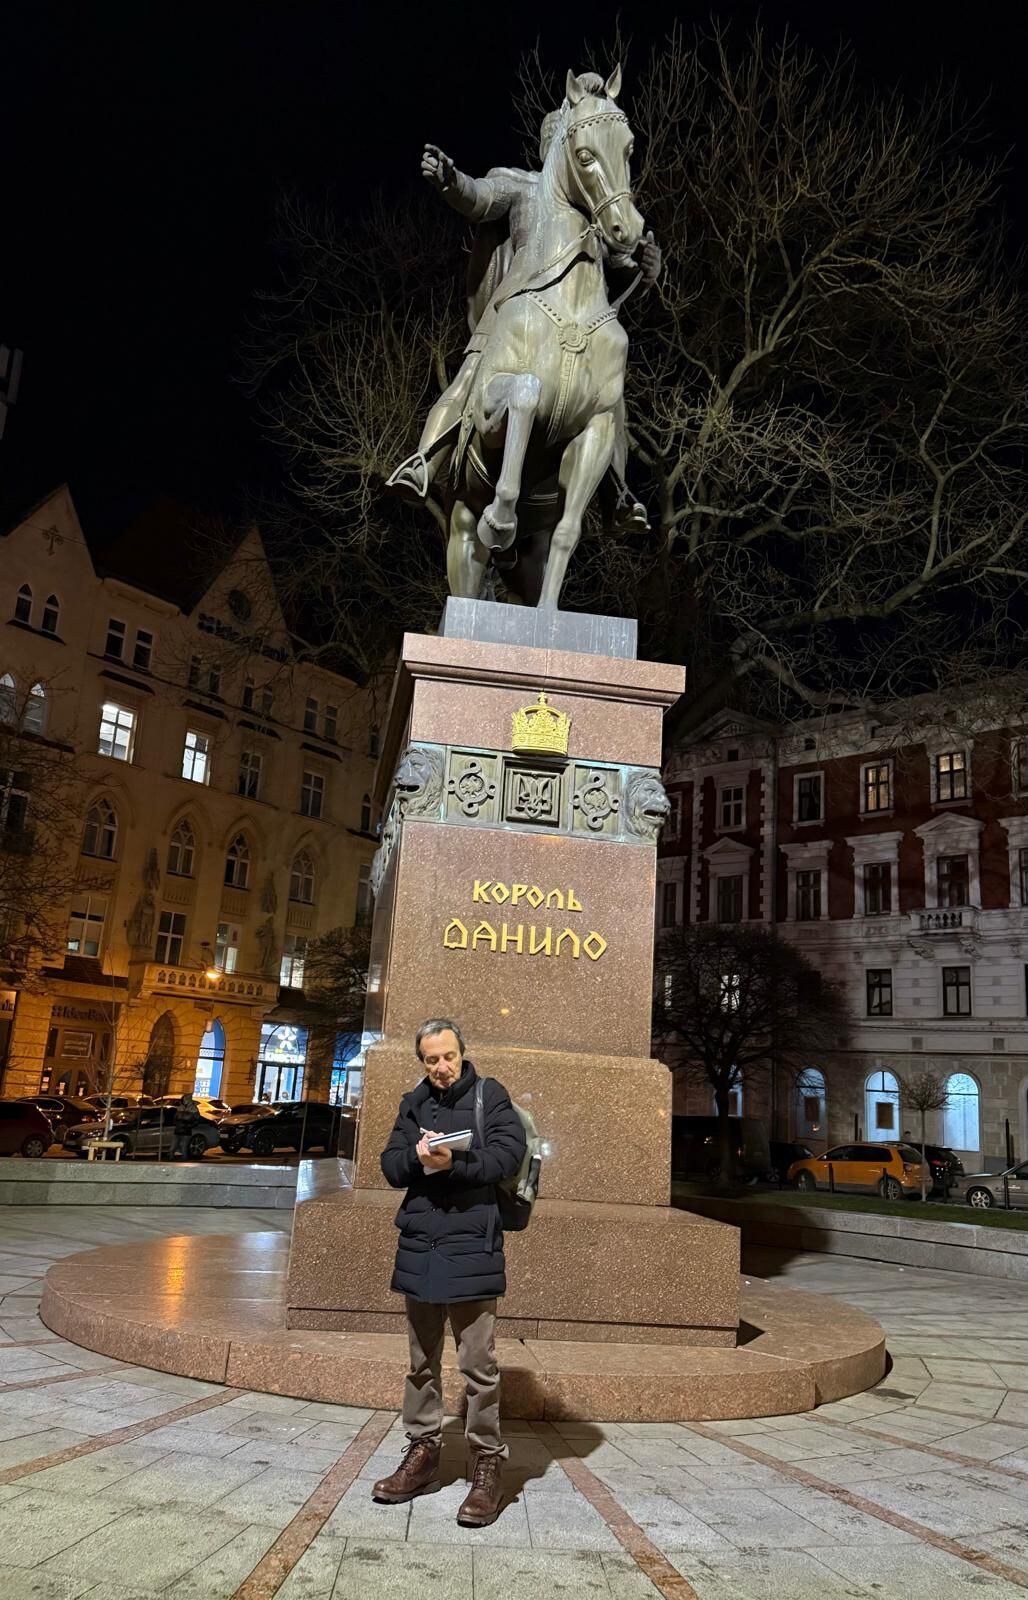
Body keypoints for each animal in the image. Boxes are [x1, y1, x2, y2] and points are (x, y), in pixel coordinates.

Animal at [445, 67, 640, 604]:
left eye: (629, 148)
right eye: (585, 154)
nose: (629, 229)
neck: (570, 304)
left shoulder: (598, 428)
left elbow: (568, 535)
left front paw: (551, 617)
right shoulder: (487, 415)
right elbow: (528, 394)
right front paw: (501, 517)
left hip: (524, 564)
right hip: (461, 533)